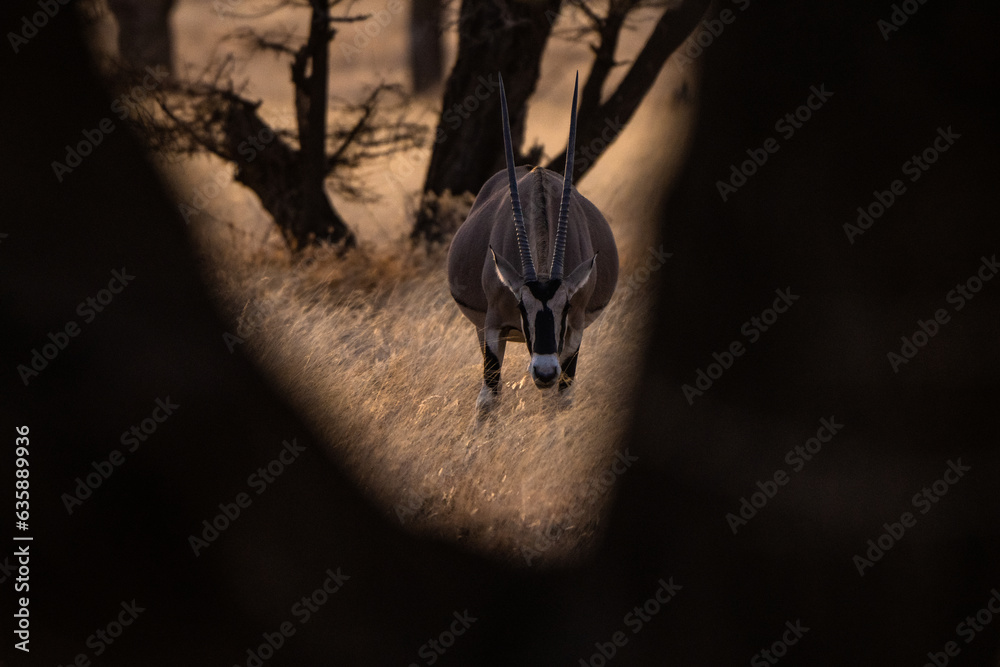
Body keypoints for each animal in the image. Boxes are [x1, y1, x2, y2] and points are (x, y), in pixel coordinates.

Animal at [447, 73, 619, 414]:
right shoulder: (492, 326)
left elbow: (562, 400)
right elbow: (488, 398)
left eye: (566, 305)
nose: (544, 371)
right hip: (481, 329)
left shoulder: (575, 329)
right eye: (520, 305)